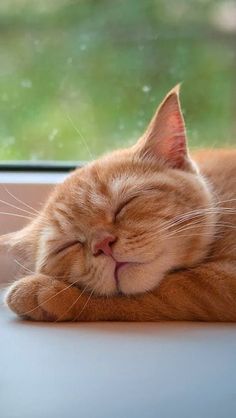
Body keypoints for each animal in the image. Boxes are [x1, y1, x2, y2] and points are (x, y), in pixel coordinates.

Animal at [0, 84, 236, 320]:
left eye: (124, 205)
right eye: (67, 245)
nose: (103, 244)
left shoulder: (217, 282)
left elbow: (152, 295)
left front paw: (50, 292)